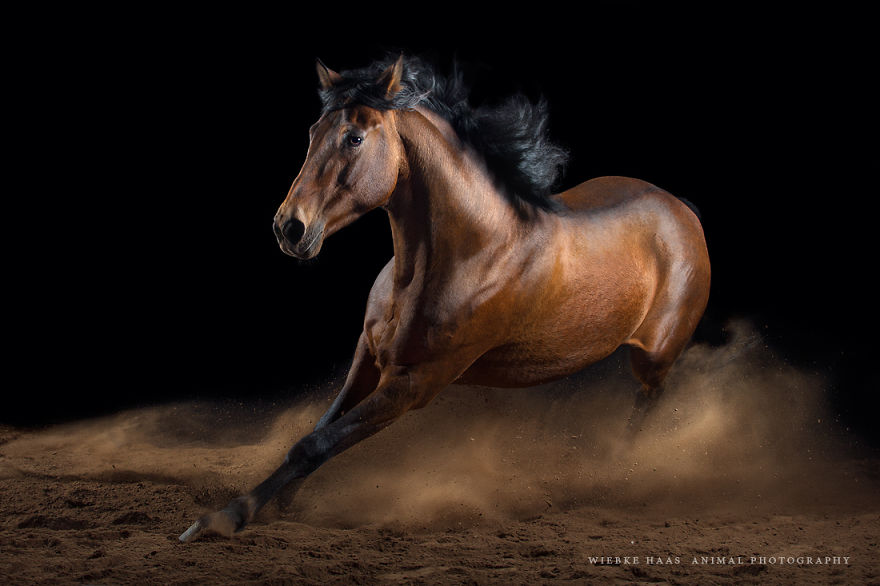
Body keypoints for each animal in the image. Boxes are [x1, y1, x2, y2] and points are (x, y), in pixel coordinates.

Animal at [179, 55, 710, 542]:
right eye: (313, 131)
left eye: (354, 137)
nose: (289, 228)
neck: (469, 252)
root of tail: (683, 210)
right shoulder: (368, 354)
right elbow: (317, 430)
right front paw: (281, 501)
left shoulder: (415, 384)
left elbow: (317, 443)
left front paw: (221, 519)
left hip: (656, 357)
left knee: (647, 405)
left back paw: (614, 471)